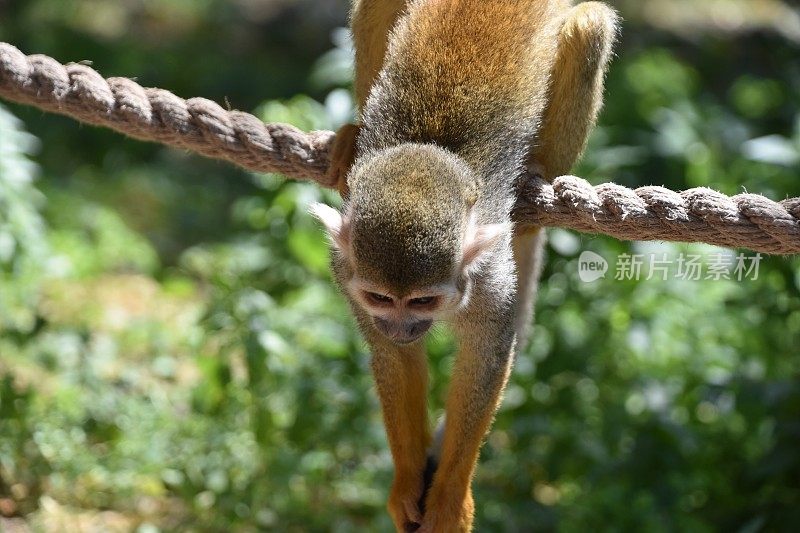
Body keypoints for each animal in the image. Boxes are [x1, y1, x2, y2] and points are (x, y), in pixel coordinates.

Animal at [312, 2, 620, 528]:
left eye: (423, 302)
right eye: (379, 299)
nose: (401, 326)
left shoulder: (489, 274)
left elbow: (485, 356)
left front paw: (450, 498)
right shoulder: (345, 269)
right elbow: (394, 359)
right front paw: (406, 482)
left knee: (591, 26)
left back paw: (537, 175)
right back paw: (354, 137)